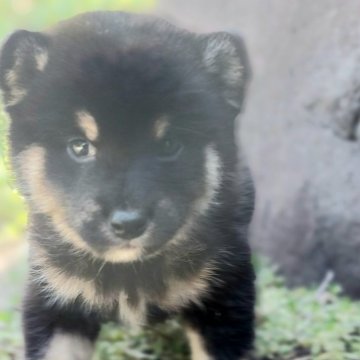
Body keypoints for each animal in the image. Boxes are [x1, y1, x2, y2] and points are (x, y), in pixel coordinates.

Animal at [0, 11, 256, 360]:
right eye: (79, 146)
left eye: (169, 144)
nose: (128, 224)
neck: (130, 272)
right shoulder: (55, 298)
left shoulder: (224, 297)